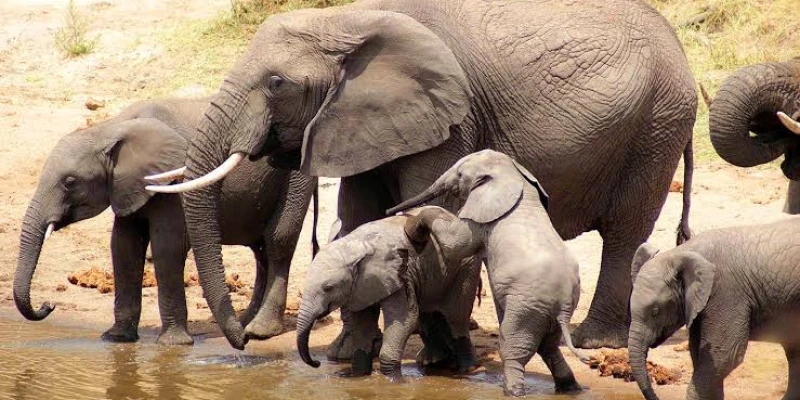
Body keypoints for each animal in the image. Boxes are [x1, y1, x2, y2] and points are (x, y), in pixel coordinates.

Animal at [13, 97, 316, 345]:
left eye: (70, 182)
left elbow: (166, 247)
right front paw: (116, 339)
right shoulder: (127, 185)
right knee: (259, 250)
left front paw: (172, 344)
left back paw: (259, 331)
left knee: (278, 241)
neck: (111, 128)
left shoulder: (173, 181)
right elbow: (123, 247)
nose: (49, 305)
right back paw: (244, 324)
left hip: (295, 176)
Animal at [146, 0, 697, 351]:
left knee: (624, 233)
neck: (346, 18)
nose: (240, 342)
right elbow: (359, 214)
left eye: (277, 82)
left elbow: (419, 207)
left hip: (657, 125)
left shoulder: (449, 118)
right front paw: (348, 352)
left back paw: (592, 342)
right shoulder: (361, 120)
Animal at [296, 208, 482, 381]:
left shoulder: (401, 274)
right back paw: (437, 364)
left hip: (466, 267)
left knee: (455, 316)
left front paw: (393, 381)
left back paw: (467, 369)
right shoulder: (360, 286)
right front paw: (360, 376)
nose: (316, 363)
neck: (355, 246)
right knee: (430, 315)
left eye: (328, 288)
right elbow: (362, 324)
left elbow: (405, 319)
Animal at [389, 150, 589, 396]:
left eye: (460, 174)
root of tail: (563, 307)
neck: (515, 176)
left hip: (527, 306)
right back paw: (570, 388)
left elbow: (457, 244)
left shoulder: (482, 220)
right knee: (549, 347)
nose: (390, 211)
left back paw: (512, 392)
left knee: (513, 346)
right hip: (545, 311)